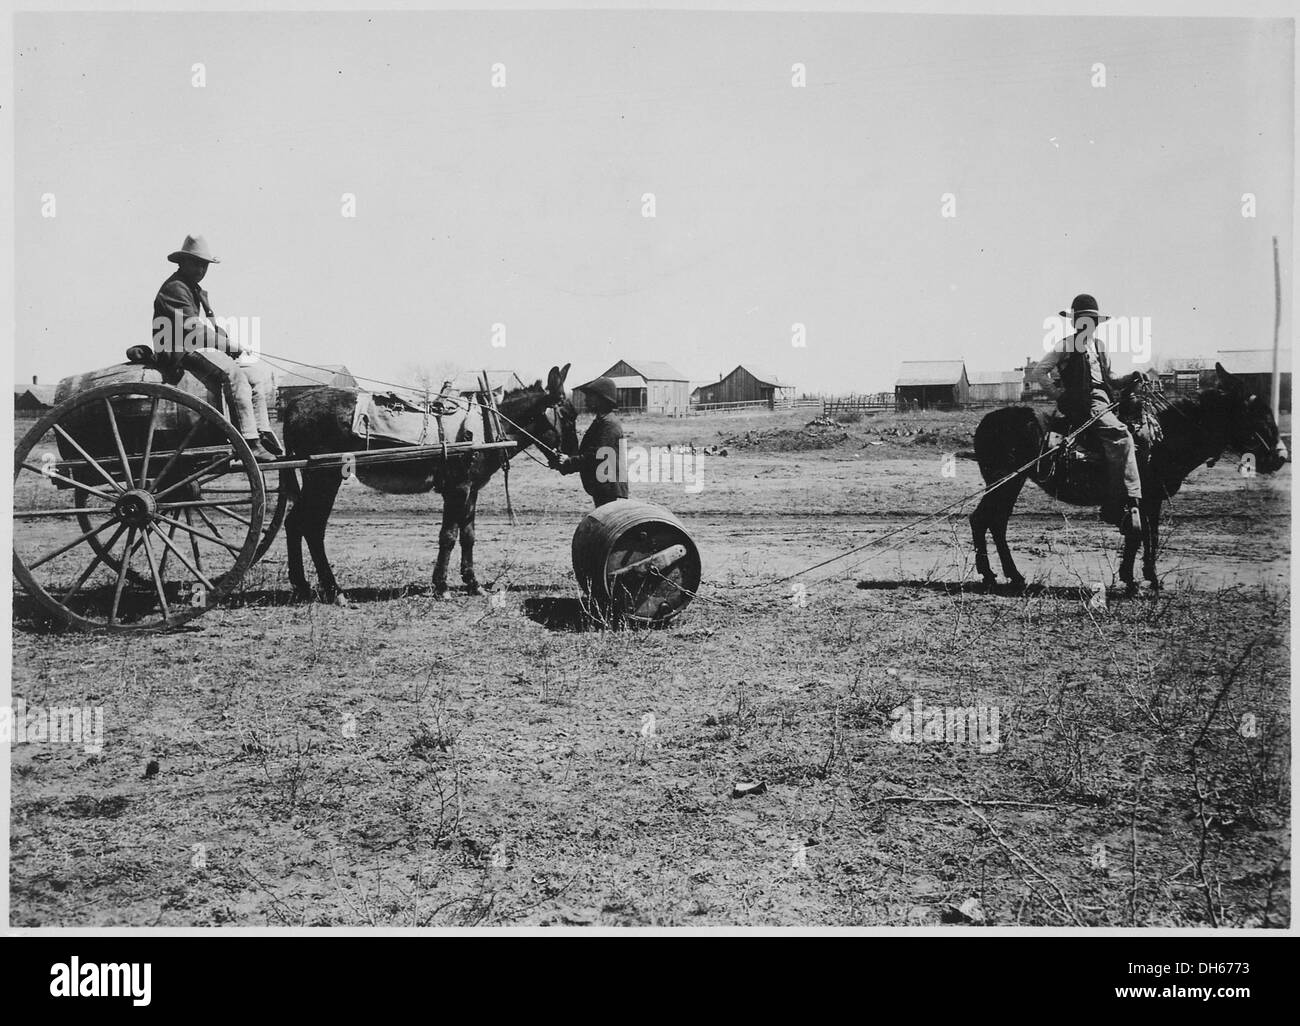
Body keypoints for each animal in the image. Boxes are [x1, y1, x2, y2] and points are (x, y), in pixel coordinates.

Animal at [282, 364, 577, 600]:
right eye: (567, 416)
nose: (573, 461)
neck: (488, 426)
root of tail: (295, 405)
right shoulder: (457, 490)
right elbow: (448, 536)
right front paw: (441, 587)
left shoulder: (471, 490)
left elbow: (468, 536)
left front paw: (473, 584)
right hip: (324, 477)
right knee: (312, 527)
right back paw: (334, 591)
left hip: (315, 479)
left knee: (294, 523)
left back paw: (303, 586)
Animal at [972, 361, 1284, 592]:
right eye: (1256, 413)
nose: (1281, 456)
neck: (1163, 438)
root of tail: (989, 421)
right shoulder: (1146, 498)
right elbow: (1143, 535)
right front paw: (1141, 579)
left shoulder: (1148, 500)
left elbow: (1144, 534)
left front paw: (1139, 577)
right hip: (1006, 482)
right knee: (985, 520)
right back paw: (994, 574)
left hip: (1007, 483)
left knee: (993, 522)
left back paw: (1008, 575)